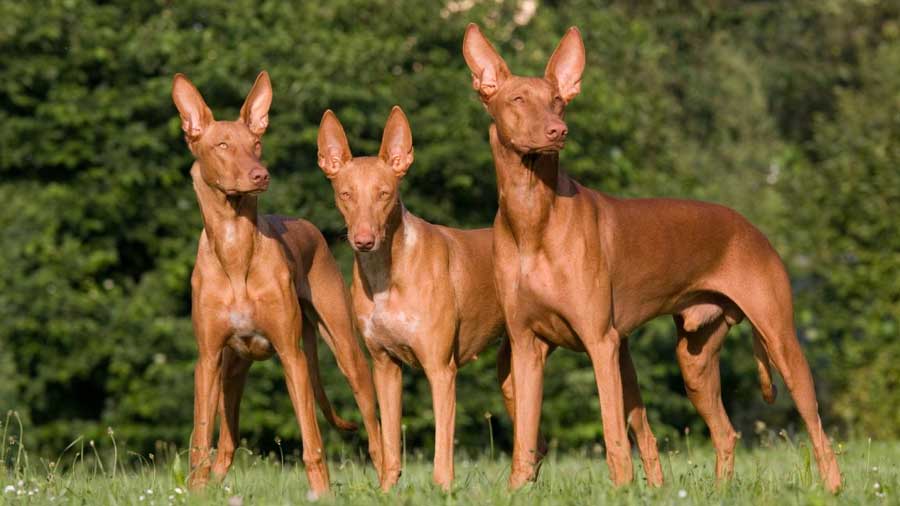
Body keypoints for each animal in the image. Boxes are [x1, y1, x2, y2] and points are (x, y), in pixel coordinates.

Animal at [172, 71, 384, 494]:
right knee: (226, 442)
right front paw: (196, 491)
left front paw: (321, 493)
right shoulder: (207, 360)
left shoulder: (292, 355)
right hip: (231, 371)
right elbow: (201, 437)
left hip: (347, 352)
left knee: (375, 430)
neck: (235, 247)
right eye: (222, 144)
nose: (260, 174)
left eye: (256, 144)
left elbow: (312, 440)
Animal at [464, 24, 844, 494]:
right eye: (517, 99)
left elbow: (612, 431)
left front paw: (621, 490)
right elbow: (525, 437)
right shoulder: (525, 347)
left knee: (817, 427)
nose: (558, 130)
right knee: (725, 432)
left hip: (781, 341)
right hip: (693, 361)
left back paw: (833, 488)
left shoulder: (602, 343)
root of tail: (751, 227)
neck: (533, 218)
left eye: (557, 99)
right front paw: (518, 490)